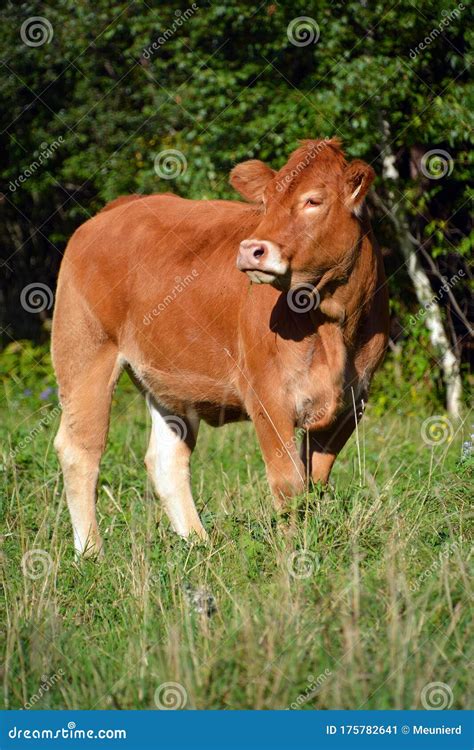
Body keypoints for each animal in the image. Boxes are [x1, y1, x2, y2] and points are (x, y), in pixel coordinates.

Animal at [51, 138, 389, 557]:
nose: (252, 249)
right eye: (266, 202)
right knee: (81, 450)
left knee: (166, 460)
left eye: (314, 200)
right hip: (84, 353)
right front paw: (294, 553)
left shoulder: (352, 402)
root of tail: (118, 207)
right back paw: (91, 552)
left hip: (169, 380)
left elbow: (316, 482)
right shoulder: (267, 396)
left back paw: (197, 543)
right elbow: (289, 483)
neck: (333, 325)